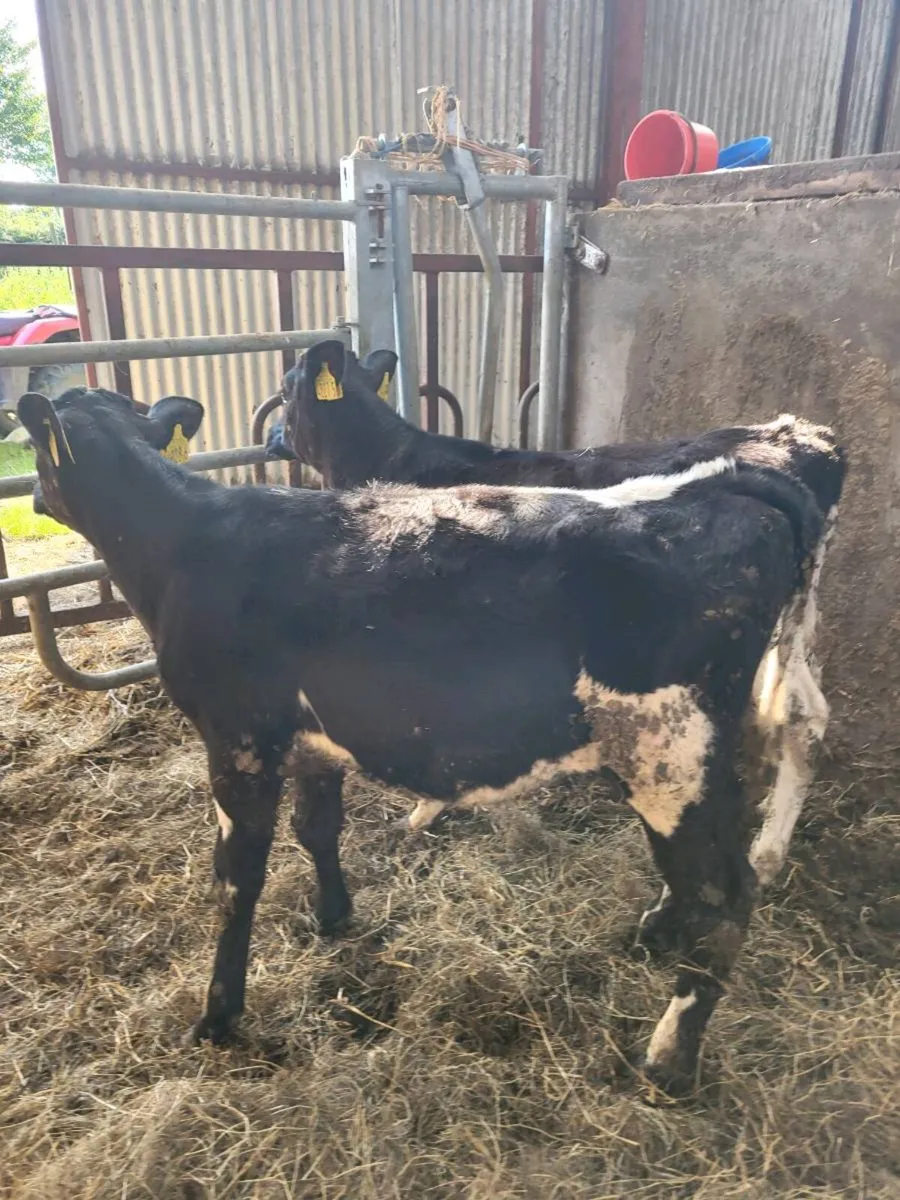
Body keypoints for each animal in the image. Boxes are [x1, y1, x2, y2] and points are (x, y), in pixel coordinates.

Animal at [267, 341, 847, 892]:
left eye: (285, 387)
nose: (271, 435)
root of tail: (802, 434)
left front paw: (425, 809)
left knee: (792, 720)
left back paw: (762, 852)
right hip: (791, 624)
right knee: (807, 711)